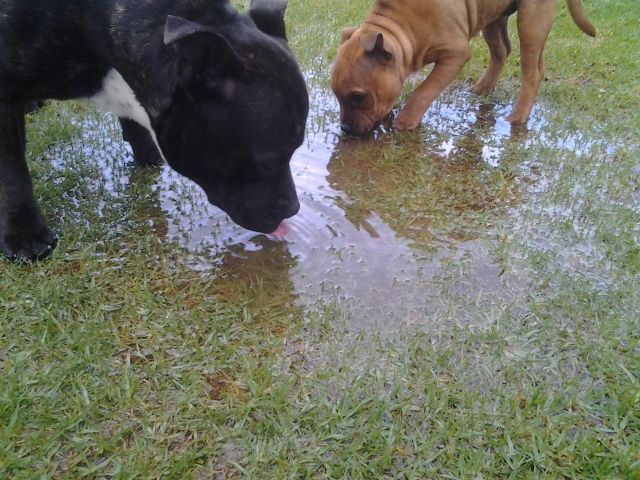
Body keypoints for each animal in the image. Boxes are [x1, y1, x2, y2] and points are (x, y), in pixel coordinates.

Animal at [0, 0, 310, 260]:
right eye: (267, 163)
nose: (293, 209)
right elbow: (12, 175)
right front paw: (24, 234)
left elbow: (133, 120)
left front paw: (147, 153)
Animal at [330, 0, 596, 135]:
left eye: (358, 97)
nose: (344, 129)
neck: (403, 25)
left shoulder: (454, 56)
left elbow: (424, 91)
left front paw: (406, 120)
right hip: (493, 17)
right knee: (502, 51)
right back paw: (483, 88)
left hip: (532, 19)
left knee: (533, 71)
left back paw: (518, 116)